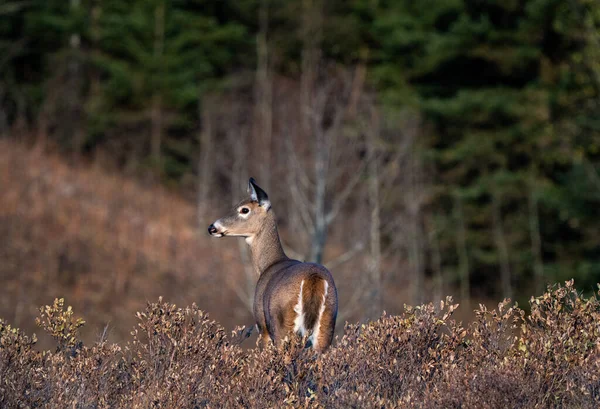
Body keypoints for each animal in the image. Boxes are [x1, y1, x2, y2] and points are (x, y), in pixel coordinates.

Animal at [209, 177, 338, 350]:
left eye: (244, 210)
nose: (212, 228)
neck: (269, 264)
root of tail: (313, 278)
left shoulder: (262, 325)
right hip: (326, 326)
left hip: (282, 326)